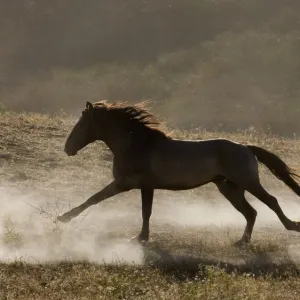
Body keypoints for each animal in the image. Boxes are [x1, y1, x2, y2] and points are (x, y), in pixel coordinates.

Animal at [56, 101, 300, 246]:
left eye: (81, 125)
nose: (68, 148)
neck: (137, 145)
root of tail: (246, 147)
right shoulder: (121, 184)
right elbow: (93, 199)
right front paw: (63, 218)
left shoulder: (144, 186)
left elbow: (146, 212)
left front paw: (141, 238)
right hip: (230, 188)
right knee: (251, 212)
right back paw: (242, 242)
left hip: (247, 182)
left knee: (271, 201)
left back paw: (292, 226)